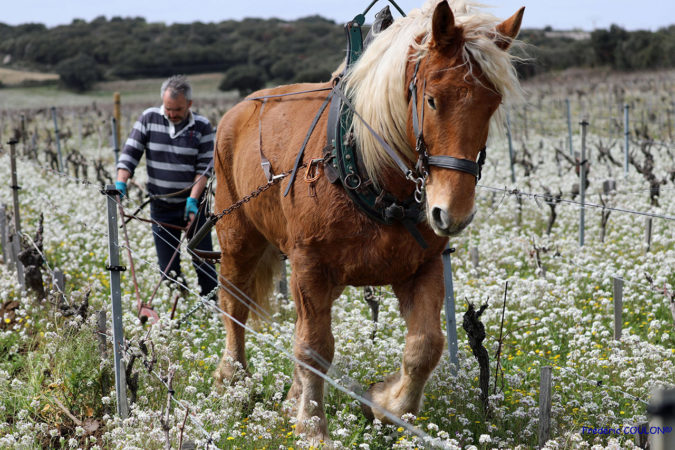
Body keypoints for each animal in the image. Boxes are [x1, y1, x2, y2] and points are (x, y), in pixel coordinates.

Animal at [214, 0, 524, 442]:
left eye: (492, 105)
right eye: (432, 100)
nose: (452, 212)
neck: (370, 171)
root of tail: (238, 110)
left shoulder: (422, 267)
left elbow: (426, 345)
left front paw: (388, 404)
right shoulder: (308, 266)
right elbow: (314, 347)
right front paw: (313, 428)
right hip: (239, 236)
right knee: (234, 304)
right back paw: (234, 380)